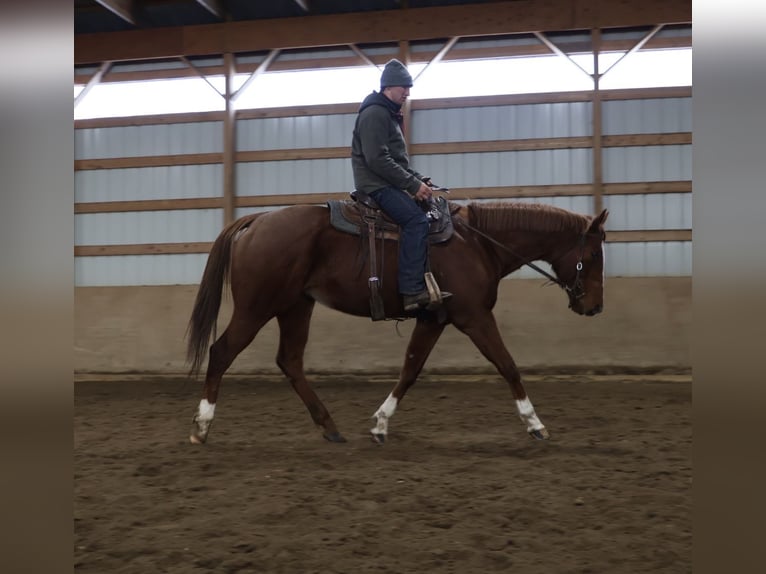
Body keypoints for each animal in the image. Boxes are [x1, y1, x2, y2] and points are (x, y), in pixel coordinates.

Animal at [186, 199, 608, 445]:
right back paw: (202, 426)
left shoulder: (434, 319)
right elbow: (507, 365)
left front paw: (380, 424)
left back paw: (330, 427)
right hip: (257, 307)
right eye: (593, 253)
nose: (595, 307)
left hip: (296, 307)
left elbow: (410, 370)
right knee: (221, 352)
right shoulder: (474, 316)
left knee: (290, 361)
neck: (478, 243)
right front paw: (535, 424)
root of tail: (257, 221)